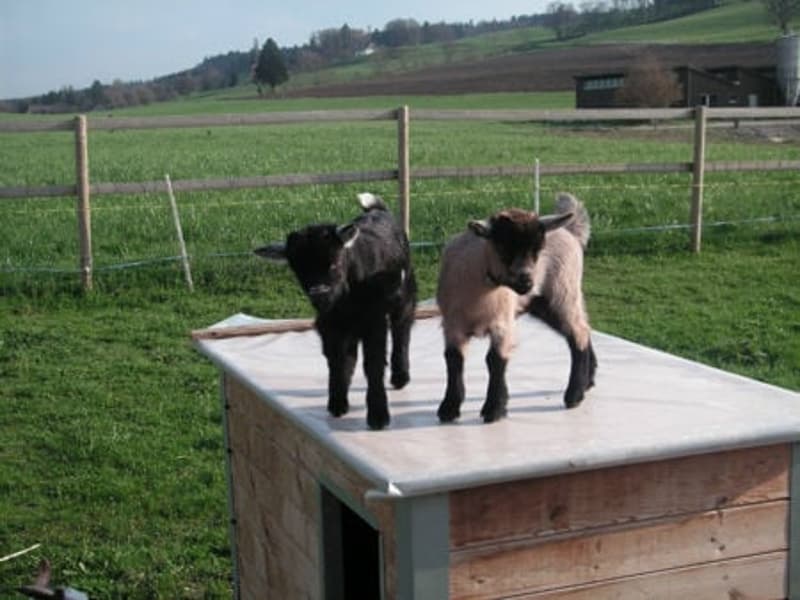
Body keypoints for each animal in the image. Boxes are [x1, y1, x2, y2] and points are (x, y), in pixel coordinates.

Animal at [254, 193, 417, 430]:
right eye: (298, 270)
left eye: (334, 263)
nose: (319, 293)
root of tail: (379, 211)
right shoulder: (329, 325)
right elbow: (338, 360)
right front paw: (337, 404)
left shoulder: (373, 321)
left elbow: (373, 363)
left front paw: (378, 415)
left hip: (405, 295)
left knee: (401, 329)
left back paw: (400, 376)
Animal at [436, 192, 596, 423]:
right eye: (503, 246)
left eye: (538, 250)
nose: (527, 282)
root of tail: (571, 232)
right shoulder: (452, 324)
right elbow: (453, 359)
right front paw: (449, 407)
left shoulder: (503, 323)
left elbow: (495, 361)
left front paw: (494, 409)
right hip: (544, 303)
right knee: (581, 328)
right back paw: (588, 381)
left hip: (564, 291)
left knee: (578, 333)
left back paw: (574, 395)